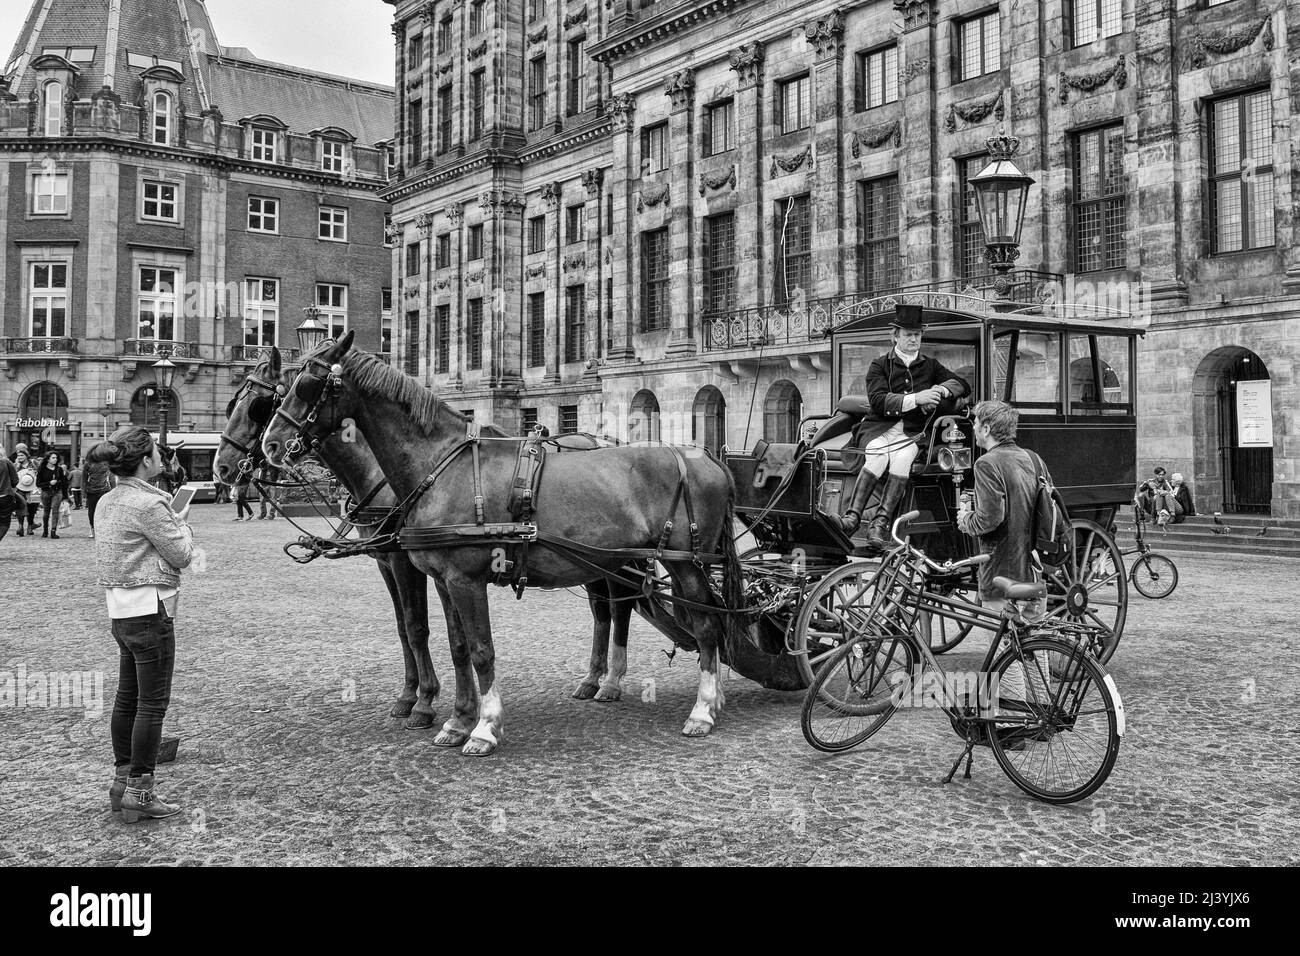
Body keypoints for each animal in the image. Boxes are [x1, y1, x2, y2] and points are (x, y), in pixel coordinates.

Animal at [260, 332, 748, 759]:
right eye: (280, 389)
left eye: (307, 384)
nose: (271, 444)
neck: (441, 464)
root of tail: (707, 457)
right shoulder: (443, 579)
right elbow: (458, 647)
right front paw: (456, 721)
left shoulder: (465, 578)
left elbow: (481, 650)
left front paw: (484, 727)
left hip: (685, 562)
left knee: (706, 625)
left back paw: (701, 710)